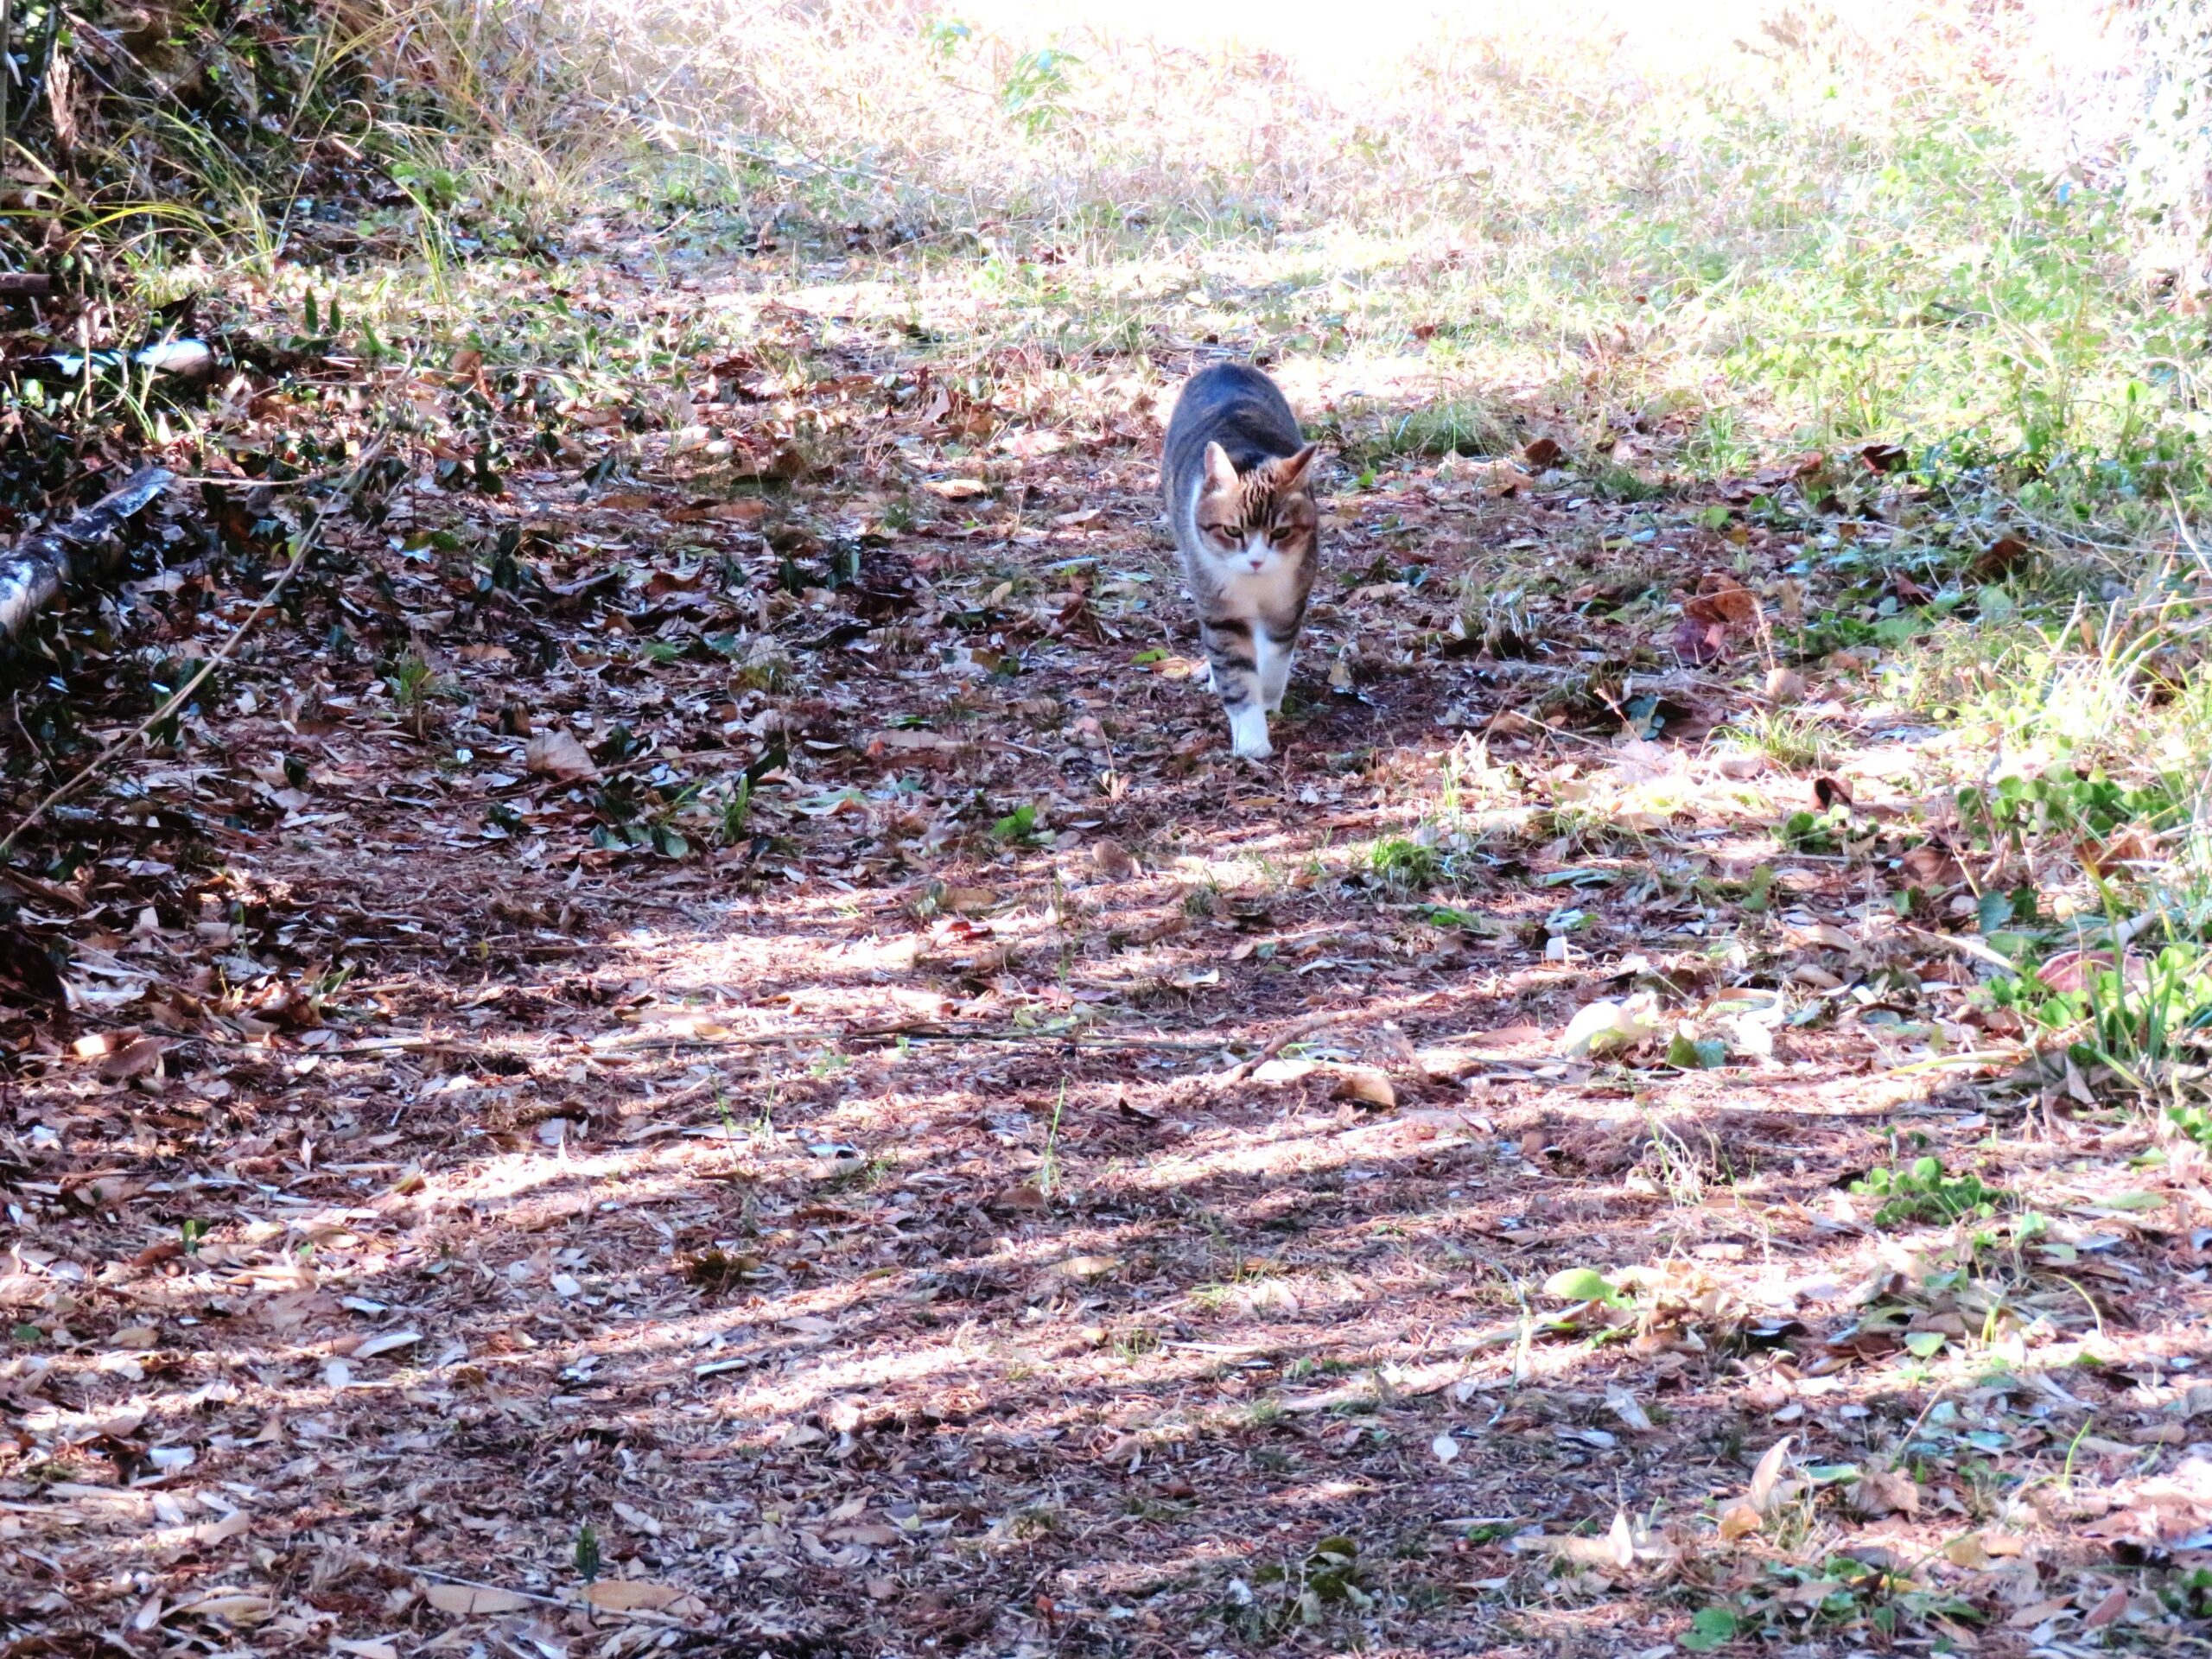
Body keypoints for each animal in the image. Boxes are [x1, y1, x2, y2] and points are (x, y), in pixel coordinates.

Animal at [1159, 366, 1309, 765]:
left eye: (1281, 532)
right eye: (1232, 530)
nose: (1256, 560)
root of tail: (1225, 366)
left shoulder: (1290, 597)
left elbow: (1276, 653)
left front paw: (1269, 698)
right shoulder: (1218, 603)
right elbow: (1236, 672)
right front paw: (1252, 739)